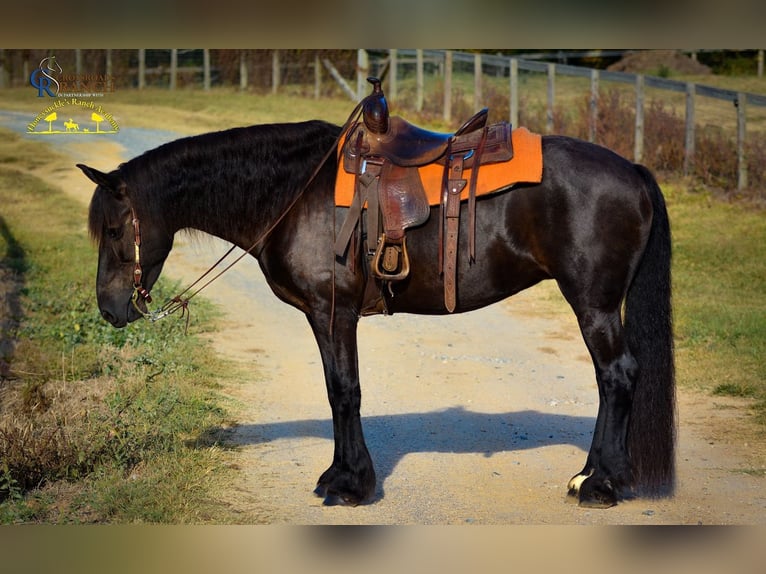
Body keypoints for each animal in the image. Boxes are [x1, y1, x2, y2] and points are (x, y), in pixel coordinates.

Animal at [78, 117, 675, 510]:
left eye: (115, 228)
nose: (109, 309)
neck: (295, 191)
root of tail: (632, 170)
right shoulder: (325, 318)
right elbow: (338, 390)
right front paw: (344, 475)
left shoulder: (332, 313)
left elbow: (344, 392)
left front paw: (347, 484)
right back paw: (592, 475)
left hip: (593, 304)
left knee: (617, 376)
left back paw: (600, 484)